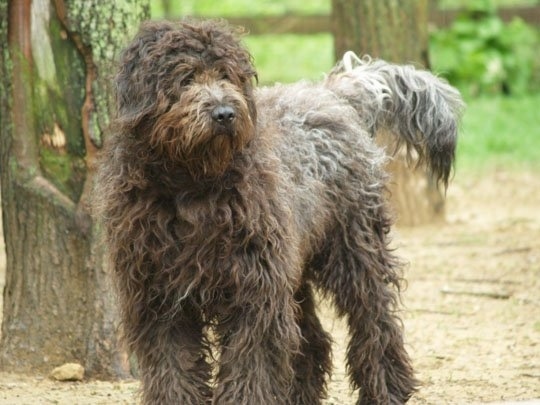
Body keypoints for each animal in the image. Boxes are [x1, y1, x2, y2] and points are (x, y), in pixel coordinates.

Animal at [94, 17, 464, 402]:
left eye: (226, 74)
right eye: (186, 77)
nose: (225, 113)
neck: (192, 187)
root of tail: (333, 95)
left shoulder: (254, 294)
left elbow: (250, 366)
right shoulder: (160, 300)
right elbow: (173, 370)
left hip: (354, 252)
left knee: (376, 323)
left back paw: (387, 389)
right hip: (293, 269)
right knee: (313, 341)